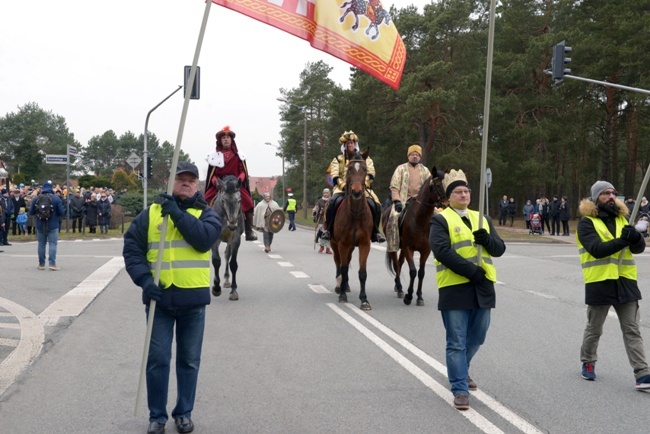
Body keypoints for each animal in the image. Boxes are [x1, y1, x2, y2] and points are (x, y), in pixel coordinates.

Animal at [330, 151, 374, 310]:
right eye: (349, 169)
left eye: (365, 169)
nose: (356, 192)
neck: (355, 213)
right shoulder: (342, 244)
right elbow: (343, 268)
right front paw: (343, 295)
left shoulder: (364, 244)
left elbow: (362, 272)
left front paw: (364, 300)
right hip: (335, 244)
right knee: (338, 263)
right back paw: (340, 286)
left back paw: (346, 285)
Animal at [380, 166, 446, 306]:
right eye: (437, 184)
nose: (445, 202)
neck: (420, 221)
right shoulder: (409, 248)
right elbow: (413, 271)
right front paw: (408, 296)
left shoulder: (425, 250)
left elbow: (421, 273)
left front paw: (419, 296)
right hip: (394, 245)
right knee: (396, 264)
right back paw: (400, 288)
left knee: (400, 263)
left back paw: (397, 286)